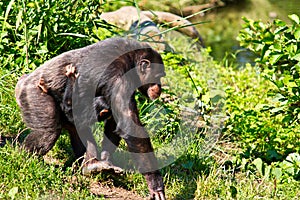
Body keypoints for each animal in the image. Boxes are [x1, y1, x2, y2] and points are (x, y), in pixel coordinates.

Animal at [15, 38, 166, 200]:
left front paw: (106, 159)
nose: (160, 87)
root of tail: (21, 82)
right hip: (33, 95)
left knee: (79, 130)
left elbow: (116, 120)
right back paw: (24, 157)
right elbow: (130, 126)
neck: (132, 61)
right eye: (158, 76)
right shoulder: (120, 75)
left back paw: (92, 165)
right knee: (48, 133)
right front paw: (155, 185)